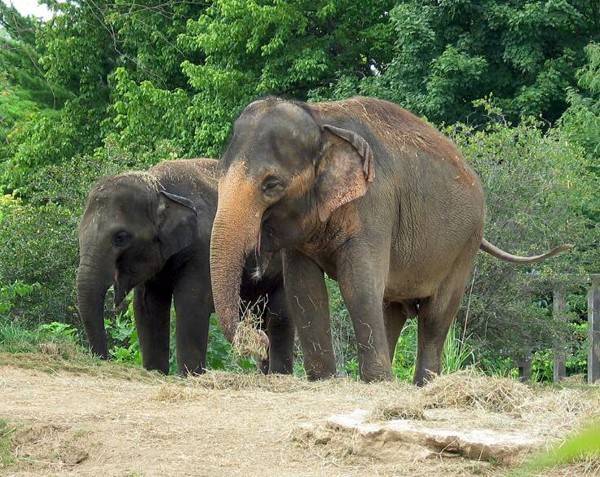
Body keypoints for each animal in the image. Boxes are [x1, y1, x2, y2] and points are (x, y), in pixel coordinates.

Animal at [77, 160, 292, 376]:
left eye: (121, 237)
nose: (103, 359)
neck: (159, 187)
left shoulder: (203, 249)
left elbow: (191, 302)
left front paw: (191, 375)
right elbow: (146, 307)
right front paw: (155, 371)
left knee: (279, 317)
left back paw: (278, 373)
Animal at [211, 96, 572, 384]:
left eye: (271, 185)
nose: (259, 339)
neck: (321, 118)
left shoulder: (375, 204)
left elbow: (357, 285)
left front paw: (375, 383)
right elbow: (305, 289)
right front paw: (324, 380)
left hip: (465, 245)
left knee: (436, 315)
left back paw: (422, 385)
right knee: (392, 309)